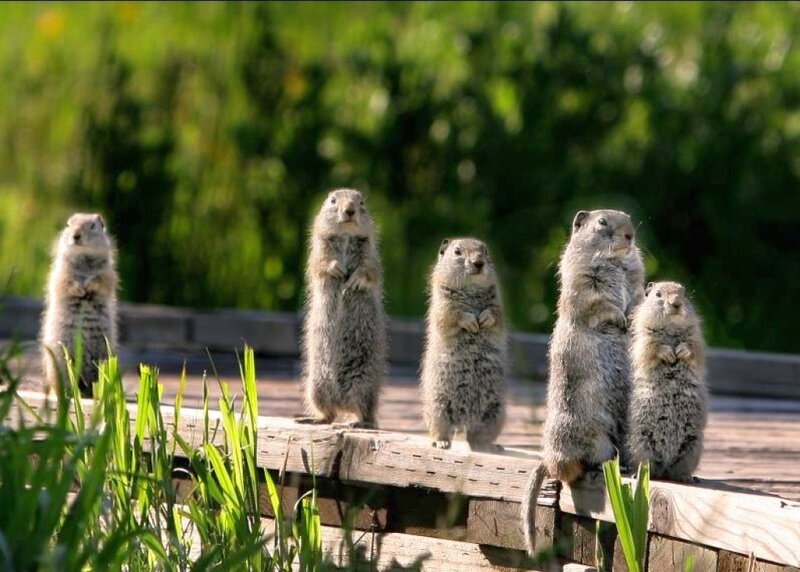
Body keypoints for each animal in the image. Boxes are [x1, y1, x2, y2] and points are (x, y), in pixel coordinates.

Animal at [41, 213, 118, 397]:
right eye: (68, 225)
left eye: (93, 226)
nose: (76, 236)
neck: (84, 257)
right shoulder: (60, 273)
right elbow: (64, 283)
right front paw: (79, 289)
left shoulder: (107, 273)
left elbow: (101, 281)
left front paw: (88, 286)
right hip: (59, 361)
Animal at [297, 189, 386, 429]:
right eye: (332, 200)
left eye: (361, 202)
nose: (349, 210)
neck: (346, 236)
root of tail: (342, 402)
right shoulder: (318, 250)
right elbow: (319, 264)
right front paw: (336, 269)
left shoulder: (371, 256)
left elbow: (370, 271)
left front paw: (353, 280)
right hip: (316, 387)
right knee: (329, 415)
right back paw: (311, 418)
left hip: (363, 387)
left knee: (367, 415)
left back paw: (358, 423)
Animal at [420, 238, 507, 452]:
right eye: (457, 251)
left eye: (485, 251)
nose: (479, 263)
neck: (471, 288)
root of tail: (464, 420)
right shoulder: (443, 304)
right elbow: (451, 315)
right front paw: (471, 322)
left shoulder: (497, 303)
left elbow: (496, 315)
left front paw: (484, 319)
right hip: (438, 408)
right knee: (442, 430)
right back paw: (441, 442)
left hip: (495, 414)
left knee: (476, 437)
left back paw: (490, 446)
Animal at [521, 209, 644, 556]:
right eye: (602, 222)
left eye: (629, 217)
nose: (630, 235)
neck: (616, 262)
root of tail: (546, 456)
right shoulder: (583, 282)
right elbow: (597, 303)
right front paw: (621, 319)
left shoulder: (635, 280)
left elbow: (637, 296)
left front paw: (633, 316)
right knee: (567, 471)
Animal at [627, 281, 707, 482]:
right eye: (658, 294)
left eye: (683, 293)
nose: (676, 303)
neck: (671, 328)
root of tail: (665, 467)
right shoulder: (644, 336)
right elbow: (649, 348)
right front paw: (668, 353)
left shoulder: (695, 336)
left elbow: (694, 348)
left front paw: (681, 351)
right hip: (641, 444)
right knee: (649, 466)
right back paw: (641, 475)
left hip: (693, 446)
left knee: (679, 470)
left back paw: (687, 477)